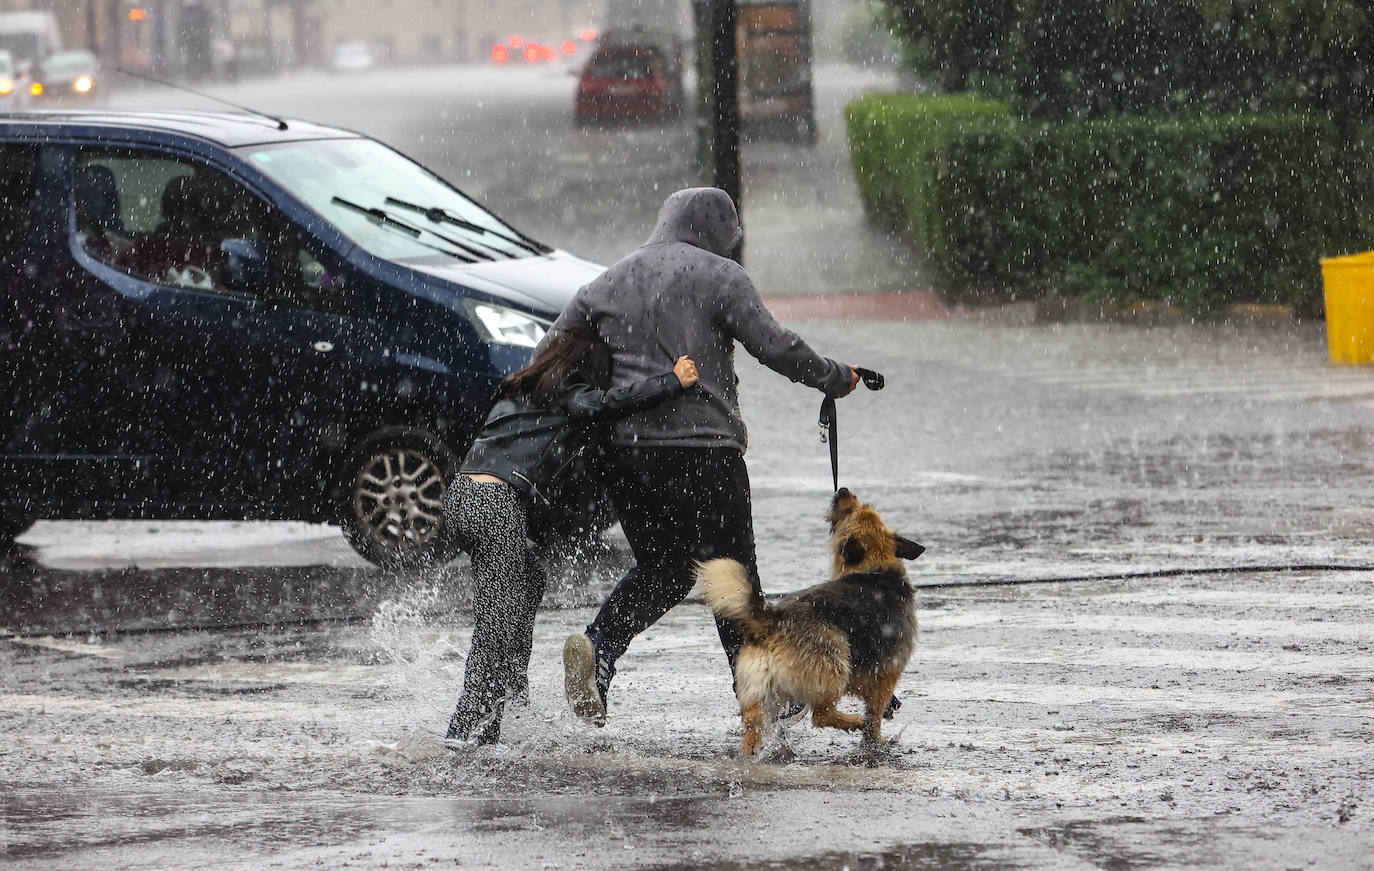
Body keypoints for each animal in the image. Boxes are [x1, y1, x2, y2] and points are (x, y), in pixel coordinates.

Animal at [697, 489, 923, 752]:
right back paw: (853, 721)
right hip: (834, 663)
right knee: (821, 715)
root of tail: (772, 620)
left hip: (757, 692)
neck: (877, 566)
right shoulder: (887, 673)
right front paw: (874, 739)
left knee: (753, 728)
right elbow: (875, 714)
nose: (843, 490)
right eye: (852, 510)